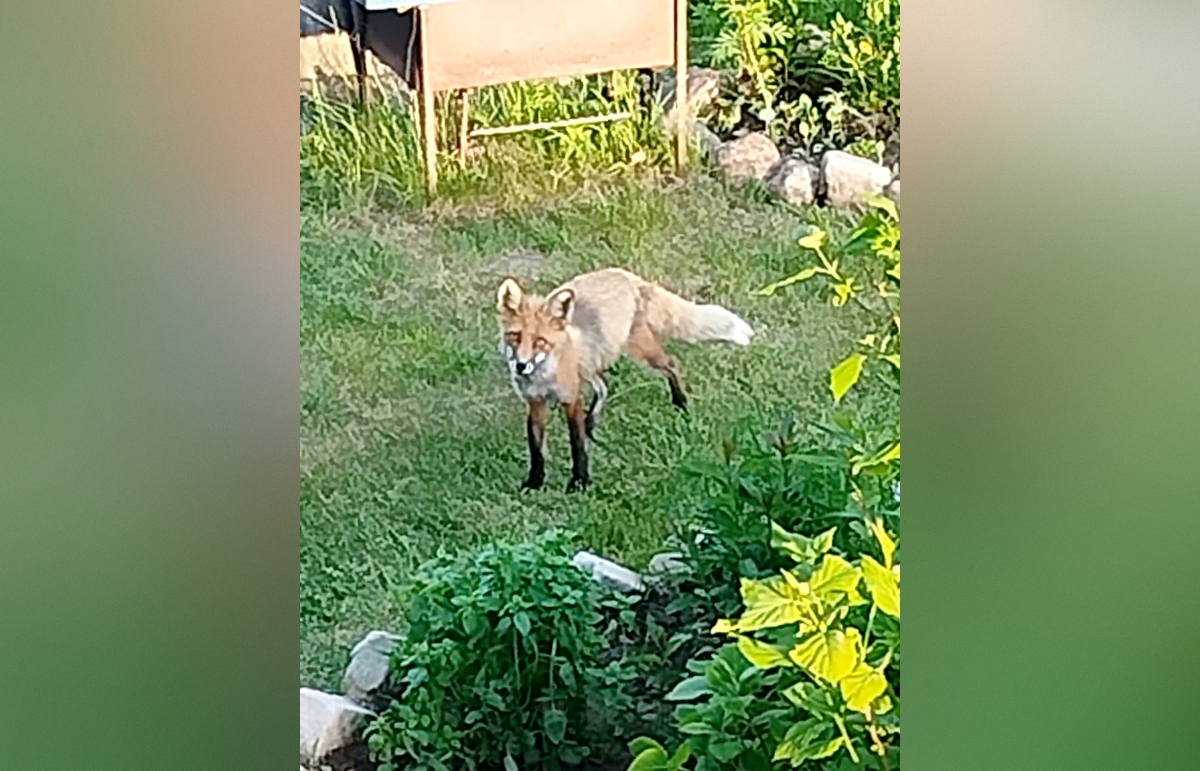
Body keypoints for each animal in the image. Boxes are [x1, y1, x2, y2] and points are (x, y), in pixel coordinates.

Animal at [496, 268, 754, 492]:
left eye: (539, 341)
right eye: (515, 337)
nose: (521, 365)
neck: (543, 377)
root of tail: (626, 274)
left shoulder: (571, 399)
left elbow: (576, 444)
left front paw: (579, 482)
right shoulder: (535, 403)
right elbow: (536, 448)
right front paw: (535, 482)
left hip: (642, 350)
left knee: (672, 364)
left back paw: (681, 404)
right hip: (591, 363)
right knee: (603, 387)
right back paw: (592, 424)